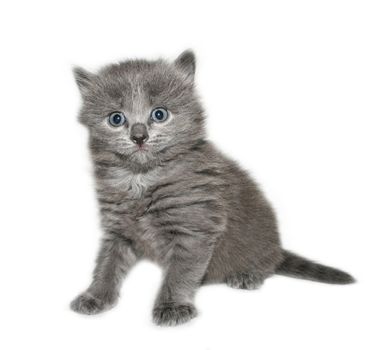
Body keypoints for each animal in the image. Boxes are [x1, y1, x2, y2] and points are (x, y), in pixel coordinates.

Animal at [70, 51, 352, 326]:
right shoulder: (118, 230)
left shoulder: (194, 229)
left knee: (267, 264)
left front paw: (172, 306)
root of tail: (277, 247)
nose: (139, 136)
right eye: (116, 119)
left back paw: (247, 275)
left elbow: (180, 273)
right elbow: (107, 265)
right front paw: (95, 297)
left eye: (159, 114)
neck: (141, 178)